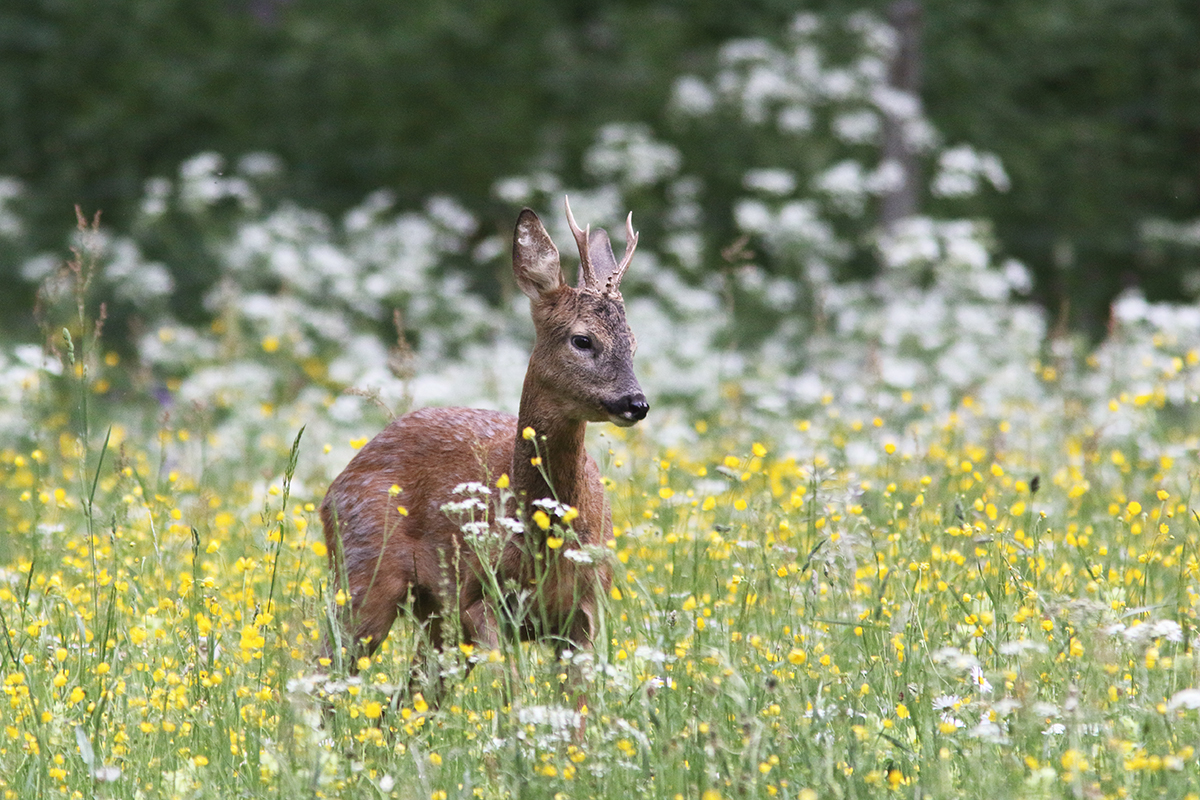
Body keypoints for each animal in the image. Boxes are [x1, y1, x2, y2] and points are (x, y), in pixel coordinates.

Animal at [321, 199, 648, 700]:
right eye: (582, 339)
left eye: (633, 343)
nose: (636, 402)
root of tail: (335, 485)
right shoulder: (481, 599)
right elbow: (514, 698)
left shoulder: (586, 610)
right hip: (363, 573)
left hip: (435, 622)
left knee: (405, 700)